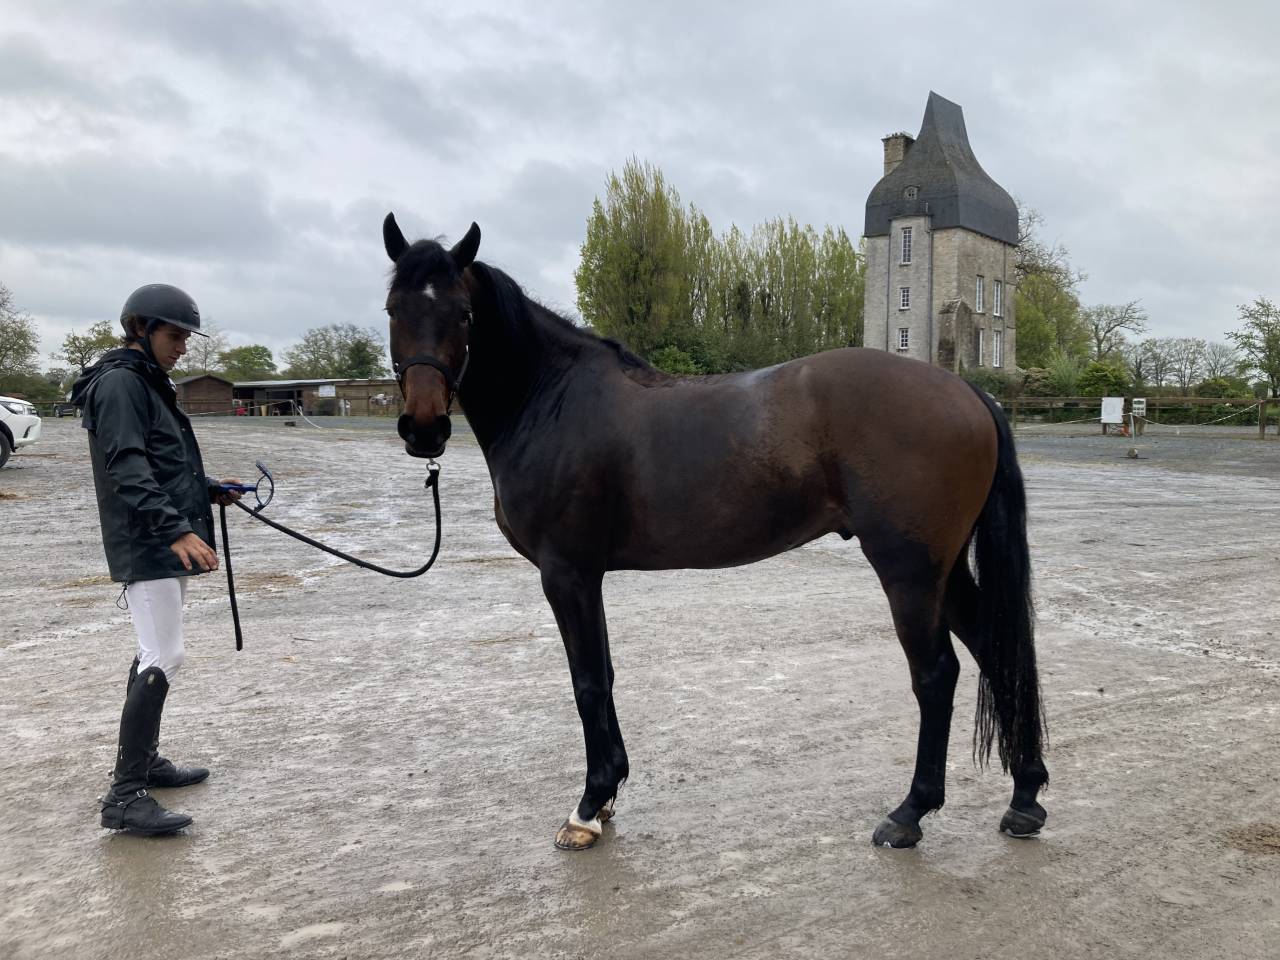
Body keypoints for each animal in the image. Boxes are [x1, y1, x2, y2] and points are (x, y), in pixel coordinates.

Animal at [381, 213, 1048, 851]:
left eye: (463, 313)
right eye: (392, 309)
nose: (424, 428)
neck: (553, 400)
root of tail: (968, 391)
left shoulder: (566, 573)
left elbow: (588, 681)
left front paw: (588, 808)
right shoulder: (587, 576)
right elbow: (605, 674)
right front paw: (611, 791)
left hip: (910, 570)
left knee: (936, 675)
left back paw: (909, 814)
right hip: (945, 570)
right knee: (993, 648)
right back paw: (1025, 797)